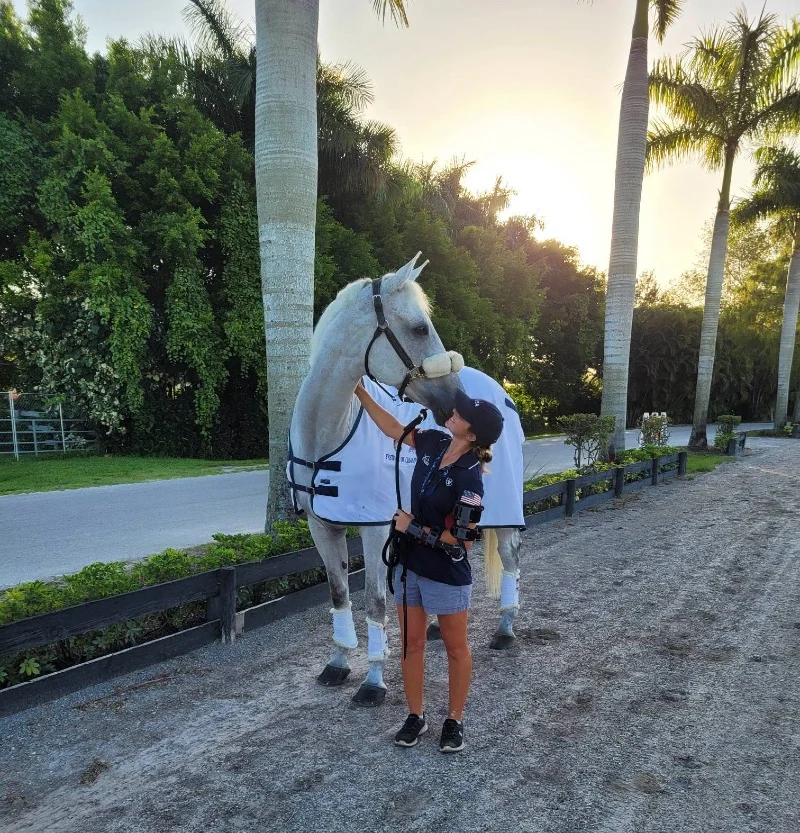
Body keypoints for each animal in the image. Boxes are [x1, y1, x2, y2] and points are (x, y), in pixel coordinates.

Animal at [290, 252, 462, 704]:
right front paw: (338, 663)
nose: (455, 400)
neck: (326, 435)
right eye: (419, 328)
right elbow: (339, 594)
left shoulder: (374, 526)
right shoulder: (322, 526)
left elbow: (374, 602)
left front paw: (373, 681)